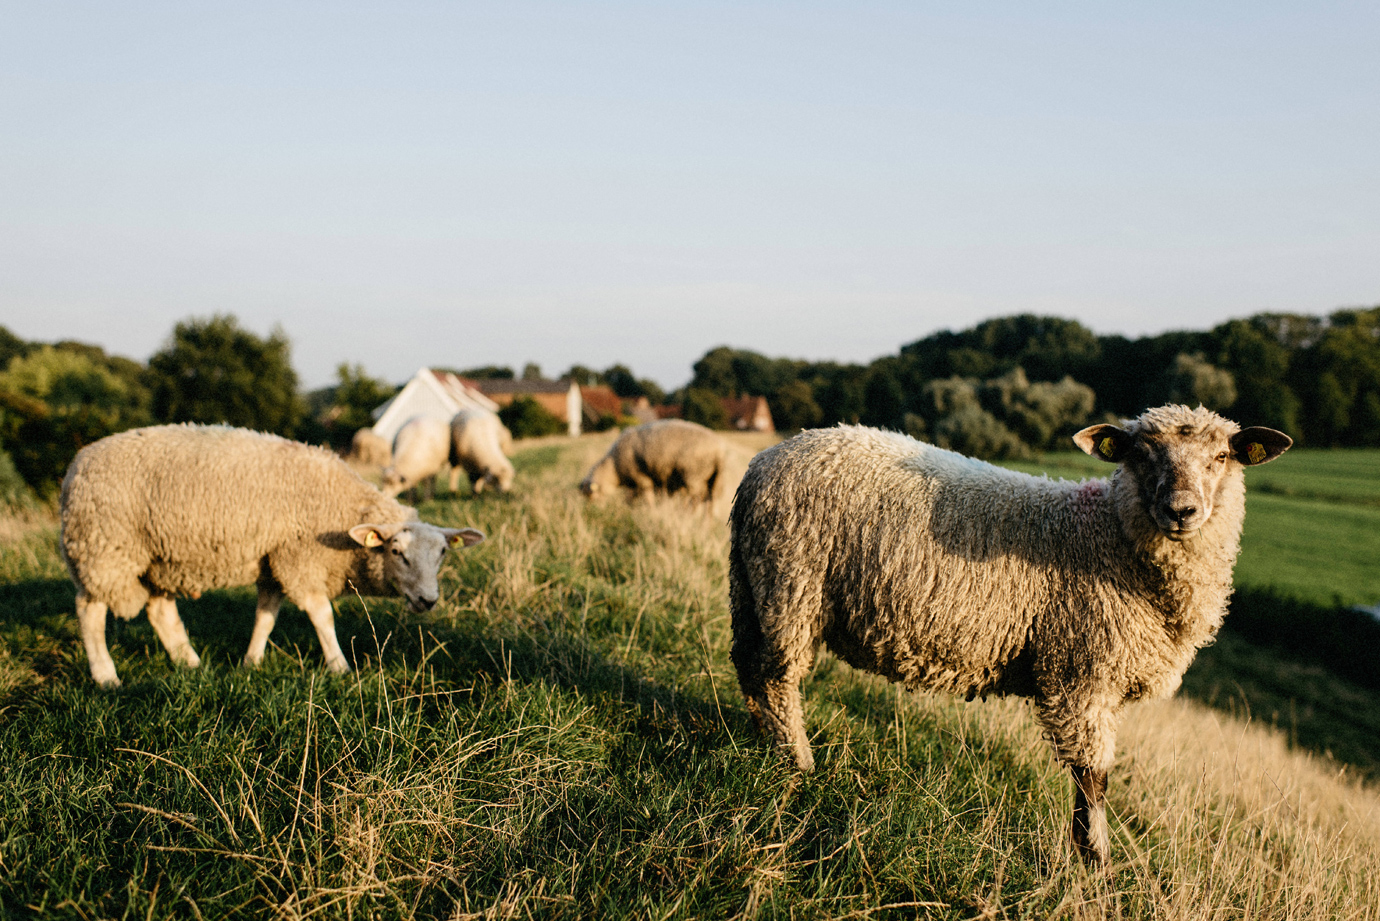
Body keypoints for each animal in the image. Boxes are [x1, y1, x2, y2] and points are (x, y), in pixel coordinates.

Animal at [60, 422, 491, 687]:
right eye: (397, 551)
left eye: (442, 554)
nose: (428, 600)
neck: (343, 509)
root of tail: (76, 464)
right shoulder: (298, 559)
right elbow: (322, 616)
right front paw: (339, 667)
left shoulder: (274, 562)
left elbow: (265, 617)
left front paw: (251, 663)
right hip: (104, 550)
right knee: (90, 612)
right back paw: (106, 676)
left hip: (158, 559)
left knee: (160, 610)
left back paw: (190, 663)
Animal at [579, 422, 734, 516]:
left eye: (592, 496)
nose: (594, 512)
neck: (613, 468)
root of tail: (719, 451)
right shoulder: (635, 484)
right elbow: (630, 499)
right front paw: (631, 509)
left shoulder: (641, 478)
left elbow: (648, 499)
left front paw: (650, 511)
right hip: (714, 480)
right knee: (710, 502)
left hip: (693, 475)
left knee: (695, 500)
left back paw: (687, 514)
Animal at [734, 405, 1291, 867]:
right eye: (1141, 454)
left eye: (1222, 457)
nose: (1181, 510)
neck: (1110, 537)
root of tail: (764, 462)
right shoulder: (1080, 671)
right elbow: (1093, 778)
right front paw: (1096, 863)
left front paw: (1091, 857)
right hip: (790, 585)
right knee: (778, 679)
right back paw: (798, 764)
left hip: (752, 589)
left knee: (750, 669)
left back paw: (763, 745)